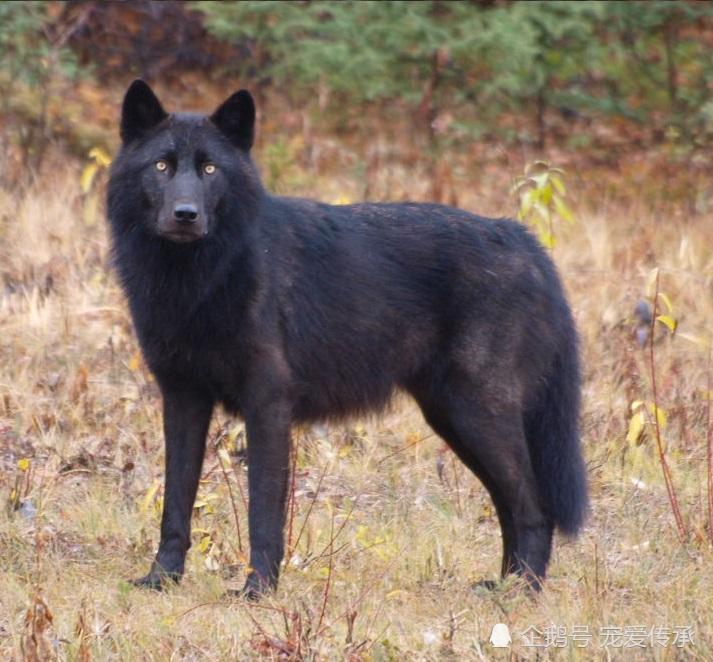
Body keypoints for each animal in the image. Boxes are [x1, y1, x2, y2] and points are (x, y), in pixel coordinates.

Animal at [105, 80, 584, 600]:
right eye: (162, 166)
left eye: (210, 168)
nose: (185, 214)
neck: (202, 280)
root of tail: (523, 239)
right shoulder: (183, 399)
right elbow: (175, 503)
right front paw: (161, 578)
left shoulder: (267, 404)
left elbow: (262, 513)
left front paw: (259, 589)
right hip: (455, 420)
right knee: (509, 504)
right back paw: (502, 584)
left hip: (478, 415)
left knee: (533, 507)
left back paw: (523, 593)